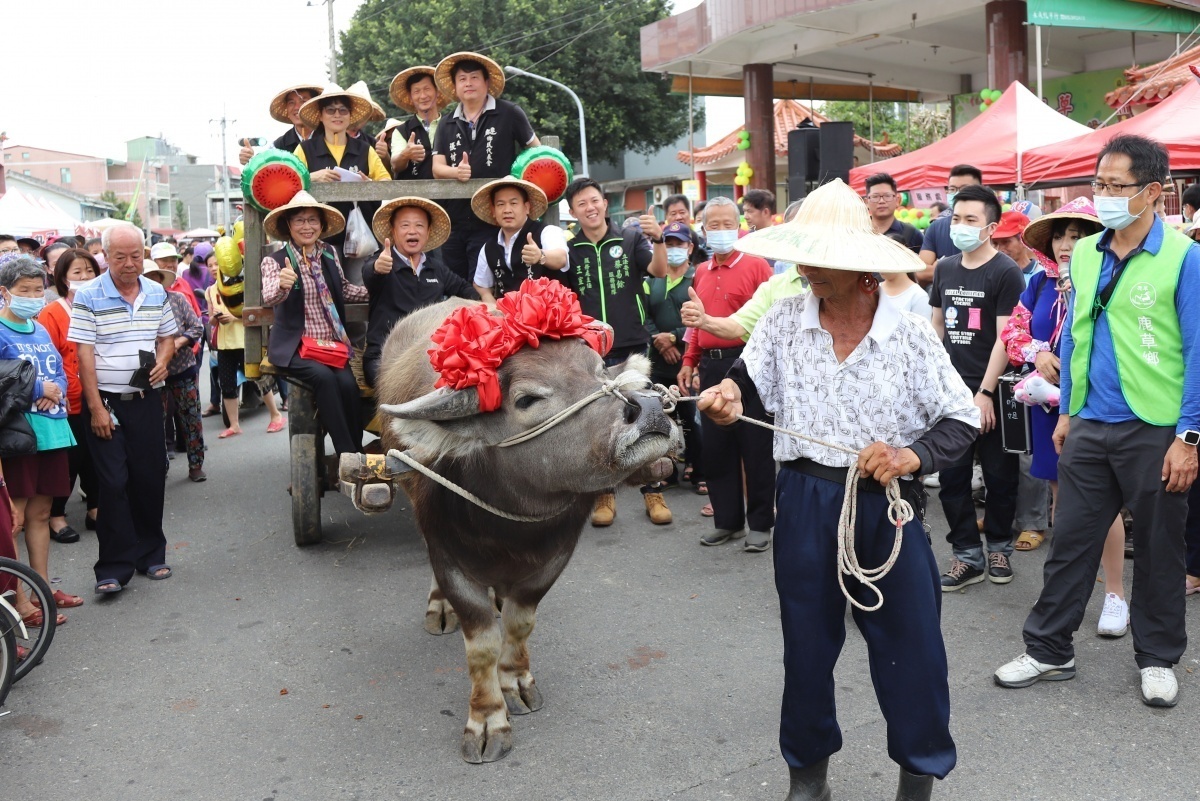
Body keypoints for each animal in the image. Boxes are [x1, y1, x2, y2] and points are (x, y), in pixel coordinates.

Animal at [369, 297, 681, 762]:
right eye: (528, 398)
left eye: (599, 372)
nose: (651, 408)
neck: (508, 524)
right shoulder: (450, 560)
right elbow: (481, 644)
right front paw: (486, 719)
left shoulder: (554, 558)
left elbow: (520, 622)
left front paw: (515, 680)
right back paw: (439, 608)